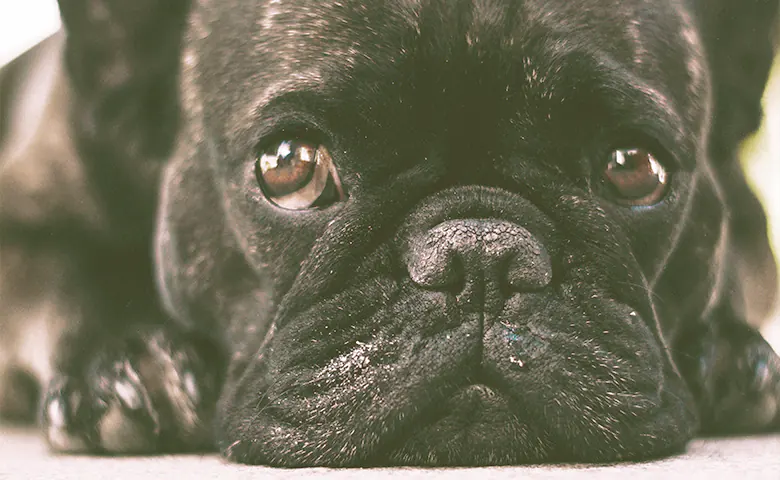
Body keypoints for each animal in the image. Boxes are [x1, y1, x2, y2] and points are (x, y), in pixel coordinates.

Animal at [1, 0, 780, 466]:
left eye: (633, 168)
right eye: (288, 164)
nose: (480, 252)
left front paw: (728, 351)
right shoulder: (23, 224)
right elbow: (71, 269)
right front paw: (126, 360)